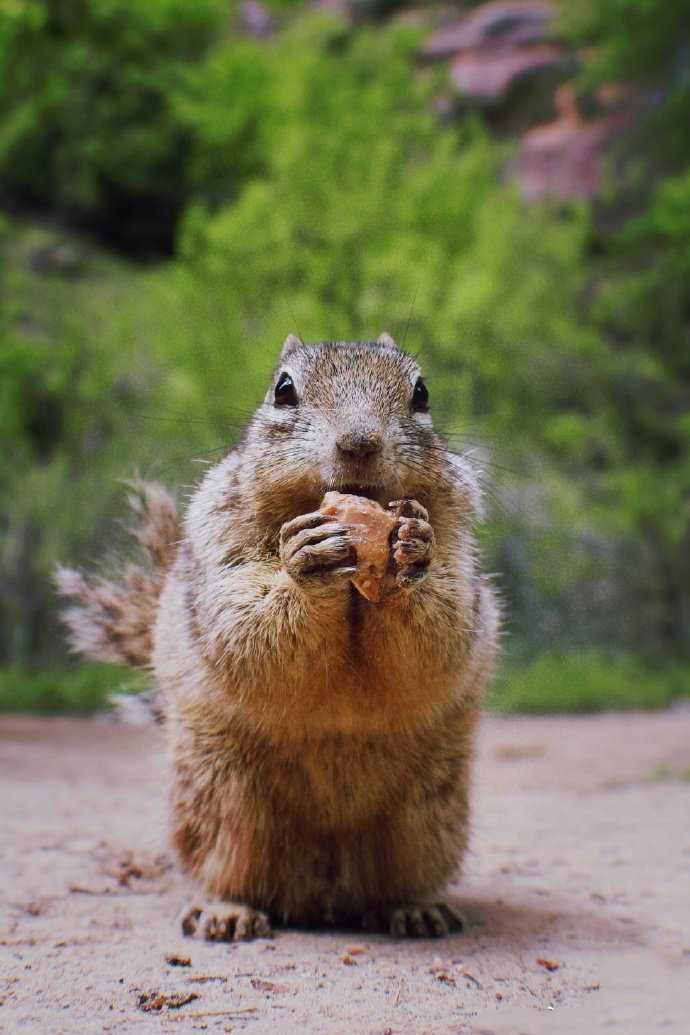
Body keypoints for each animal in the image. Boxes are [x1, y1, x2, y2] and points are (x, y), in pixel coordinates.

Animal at [56, 331, 498, 939]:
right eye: (283, 390)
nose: (359, 442)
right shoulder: (222, 551)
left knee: (403, 878)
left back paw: (417, 908)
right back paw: (226, 911)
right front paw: (302, 563)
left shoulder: (460, 555)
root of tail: (327, 890)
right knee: (230, 866)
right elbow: (245, 630)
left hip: (430, 815)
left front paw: (413, 550)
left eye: (422, 393)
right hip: (224, 800)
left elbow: (443, 632)